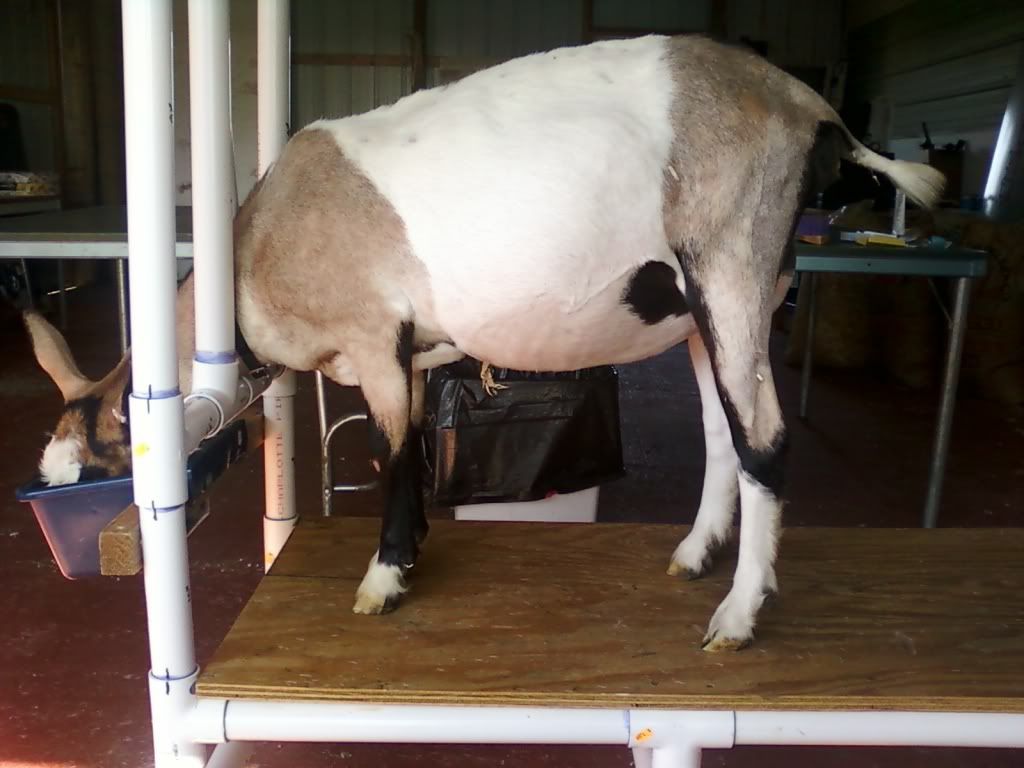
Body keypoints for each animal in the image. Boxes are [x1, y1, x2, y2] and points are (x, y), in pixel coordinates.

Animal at [32, 35, 943, 650]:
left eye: (101, 461)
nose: (82, 554)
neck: (258, 242)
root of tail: (810, 109)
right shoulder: (403, 351)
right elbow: (403, 443)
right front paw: (410, 556)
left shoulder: (373, 334)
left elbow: (393, 450)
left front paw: (383, 578)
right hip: (707, 306)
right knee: (724, 432)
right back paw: (694, 556)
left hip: (732, 262)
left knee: (765, 438)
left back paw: (738, 615)